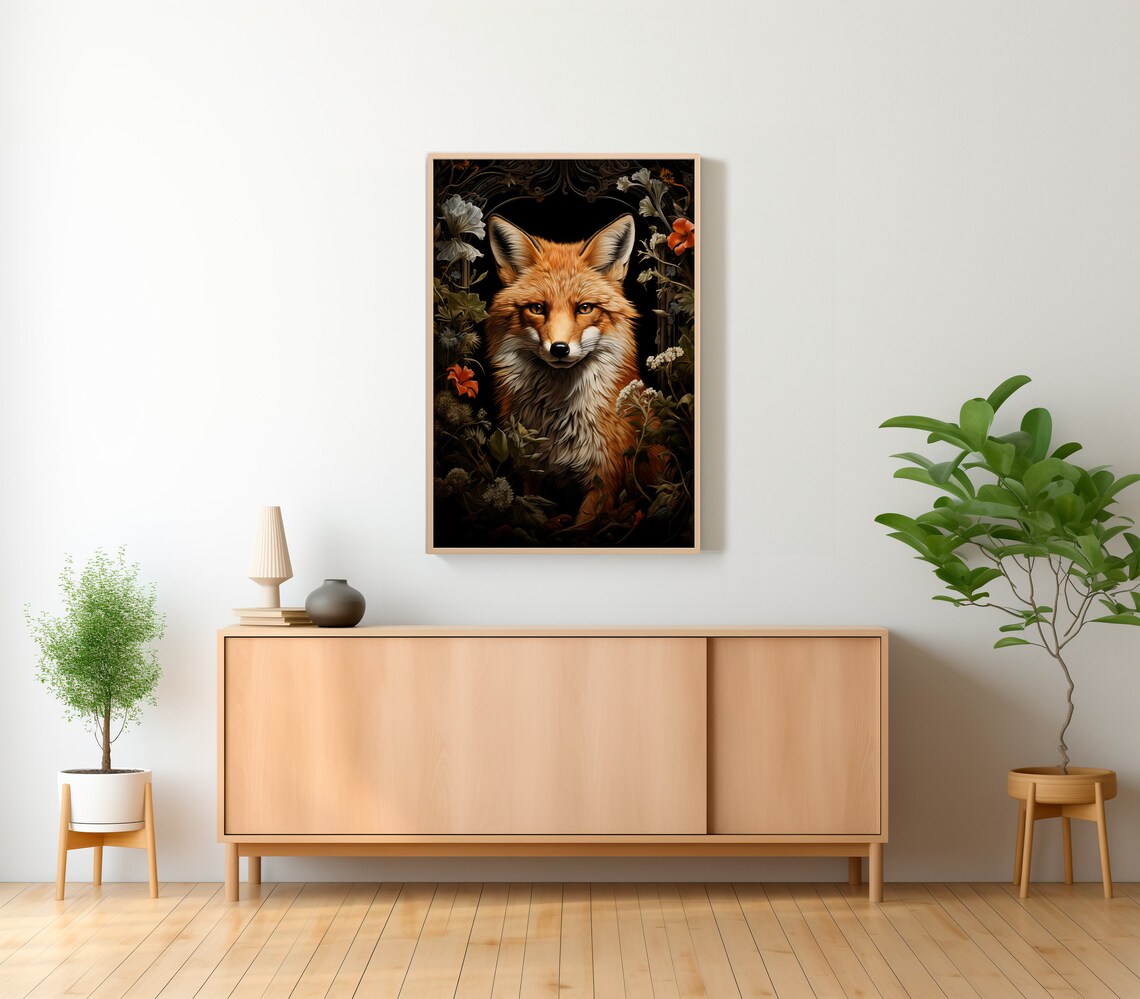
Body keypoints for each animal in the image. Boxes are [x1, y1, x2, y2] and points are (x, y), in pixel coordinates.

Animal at [485, 213, 643, 523]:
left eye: (584, 308)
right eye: (537, 308)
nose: (559, 348)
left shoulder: (604, 479)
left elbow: (583, 524)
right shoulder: (532, 474)